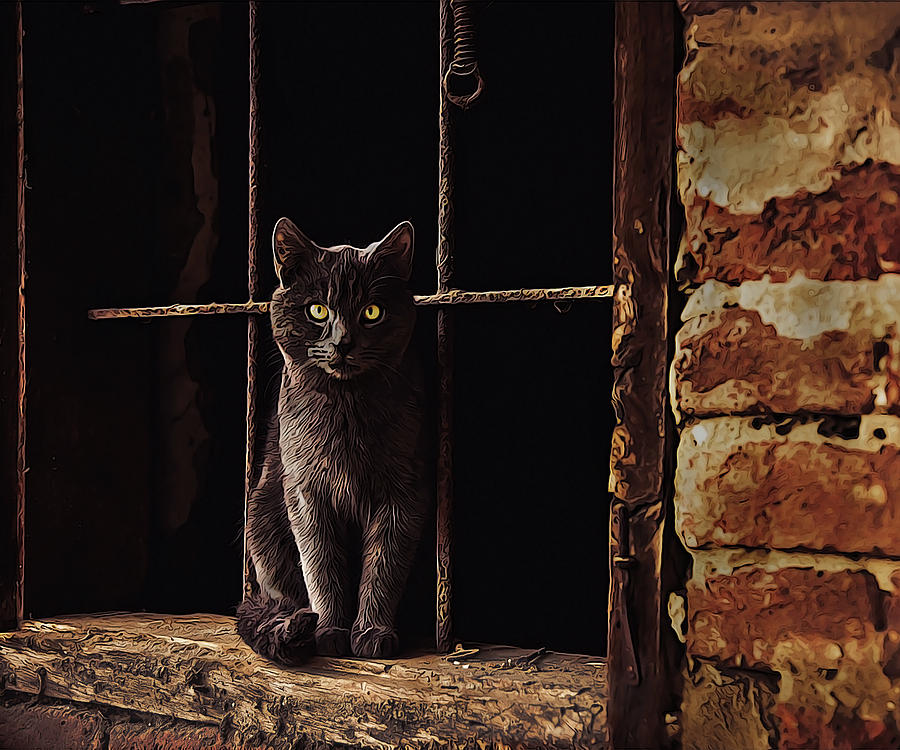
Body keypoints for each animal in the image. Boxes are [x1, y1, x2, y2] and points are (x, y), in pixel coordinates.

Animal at [236, 217, 426, 664]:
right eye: (317, 309)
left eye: (371, 312)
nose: (342, 342)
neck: (346, 410)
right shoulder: (305, 491)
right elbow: (321, 564)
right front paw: (329, 632)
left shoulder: (402, 493)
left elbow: (385, 564)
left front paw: (373, 633)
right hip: (262, 515)